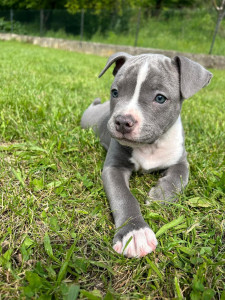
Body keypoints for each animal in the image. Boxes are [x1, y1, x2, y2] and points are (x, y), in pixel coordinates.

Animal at [81, 52, 213, 258]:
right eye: (115, 92)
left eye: (160, 98)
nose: (122, 121)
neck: (150, 146)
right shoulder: (113, 168)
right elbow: (123, 196)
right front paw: (134, 233)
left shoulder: (181, 160)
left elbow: (178, 177)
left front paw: (160, 196)